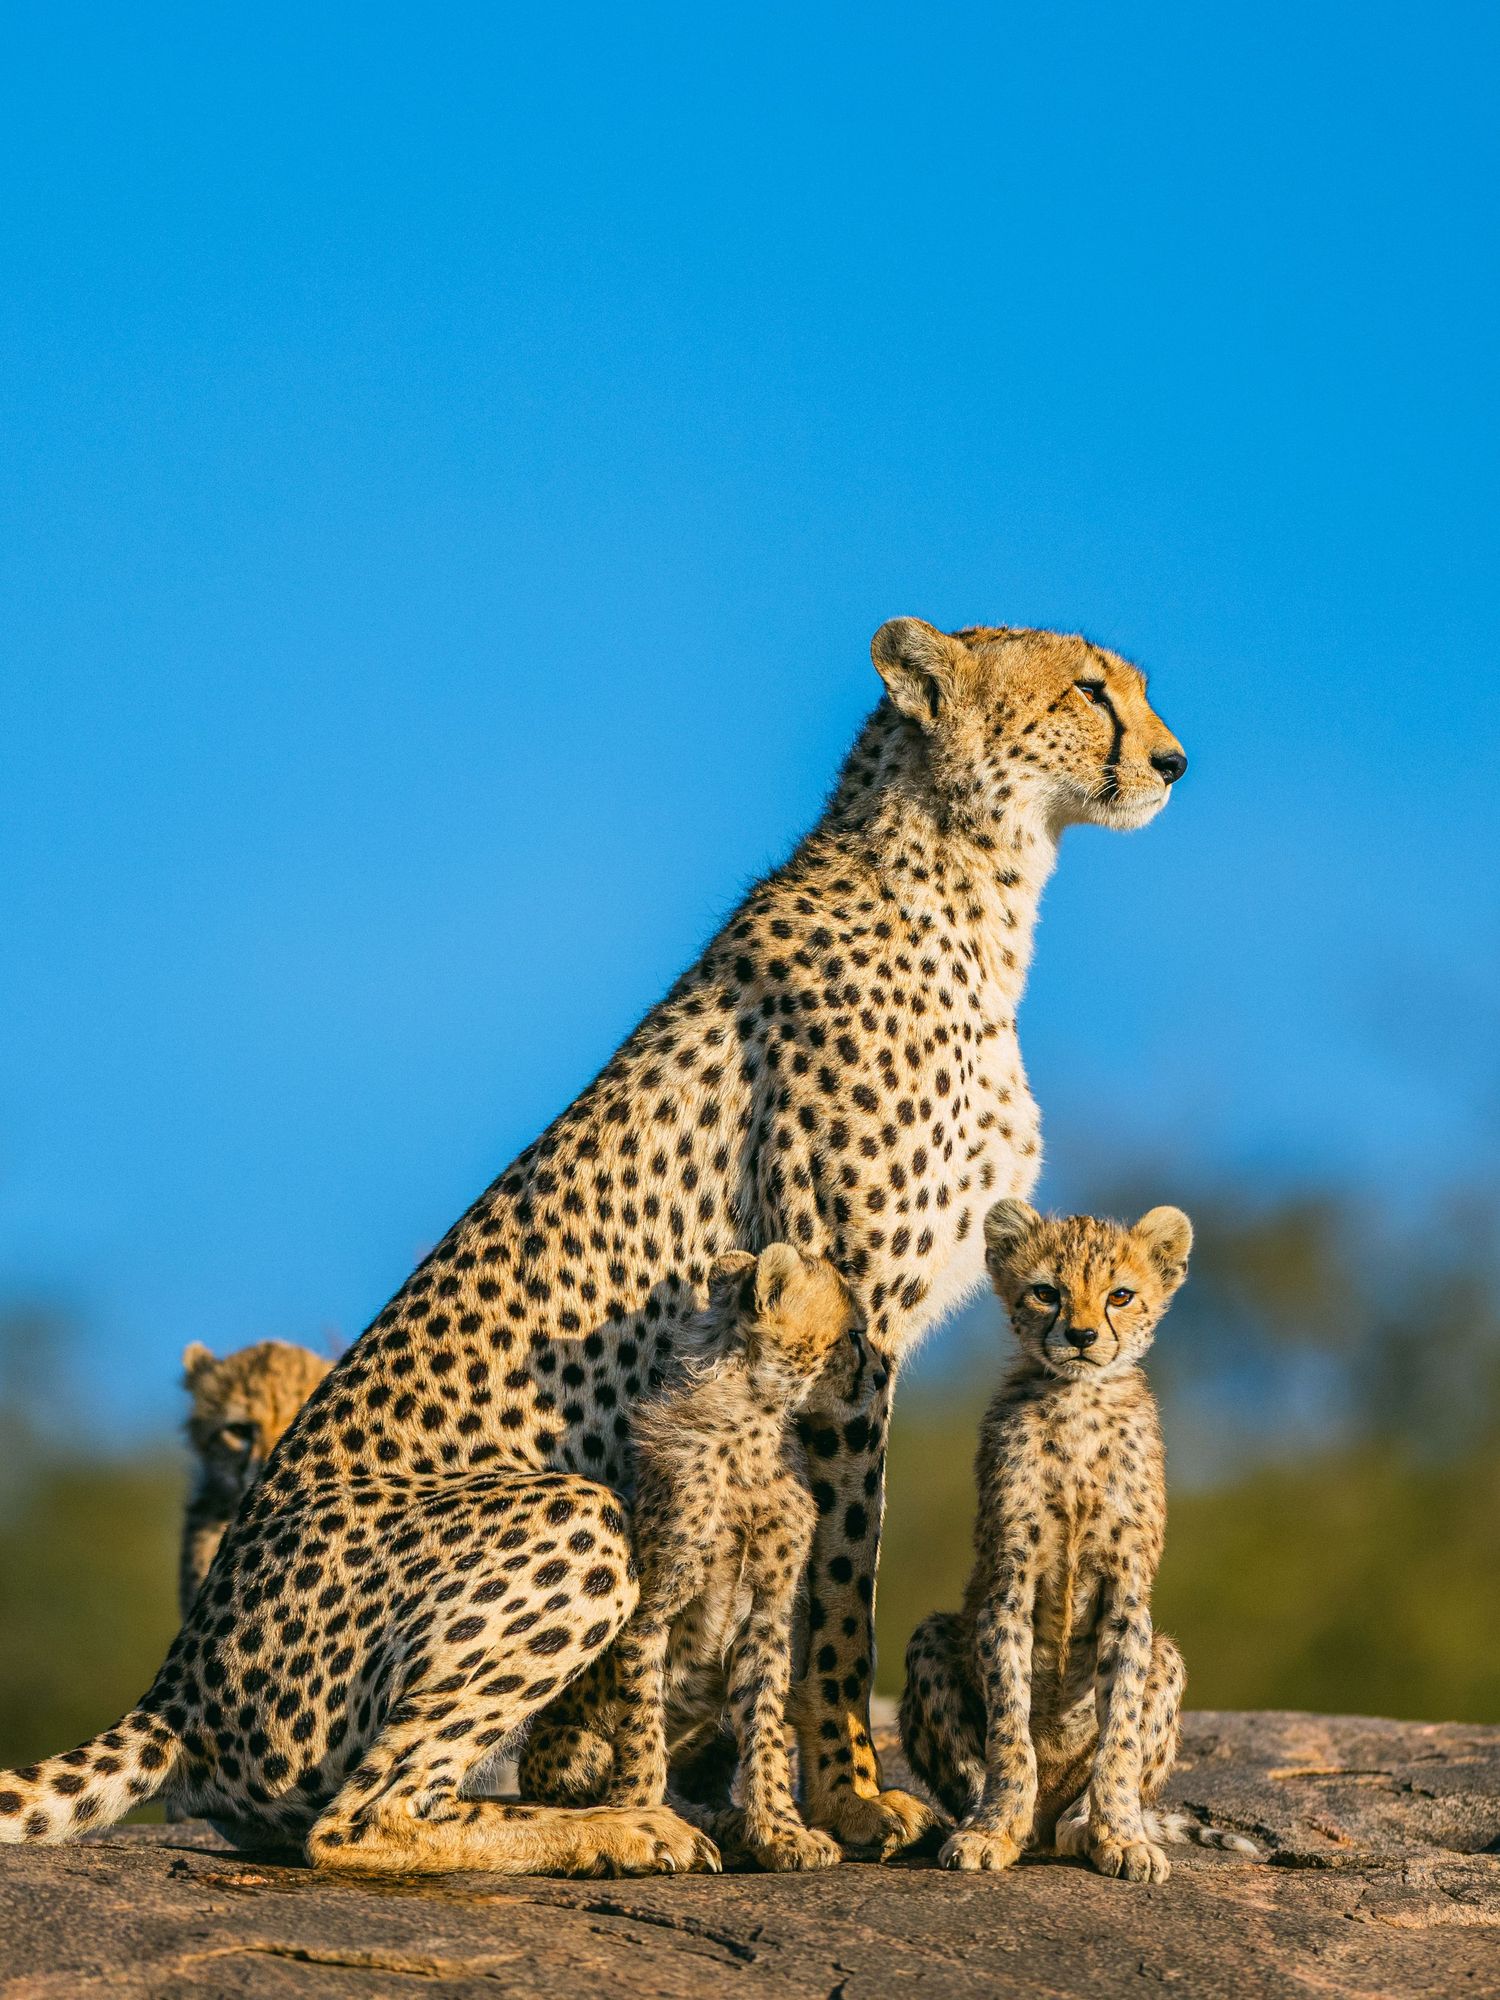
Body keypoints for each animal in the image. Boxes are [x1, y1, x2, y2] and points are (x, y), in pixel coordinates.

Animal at [900, 1197, 1258, 1882]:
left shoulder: (1127, 1592)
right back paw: (992, 1825)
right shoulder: (1007, 1586)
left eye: (1120, 1295)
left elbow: (1119, 1738)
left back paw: (1083, 1827)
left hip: (1168, 1657)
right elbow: (1008, 1730)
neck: (1077, 1404)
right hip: (932, 1637)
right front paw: (992, 1830)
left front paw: (1119, 1837)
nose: (1083, 1336)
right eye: (1047, 1293)